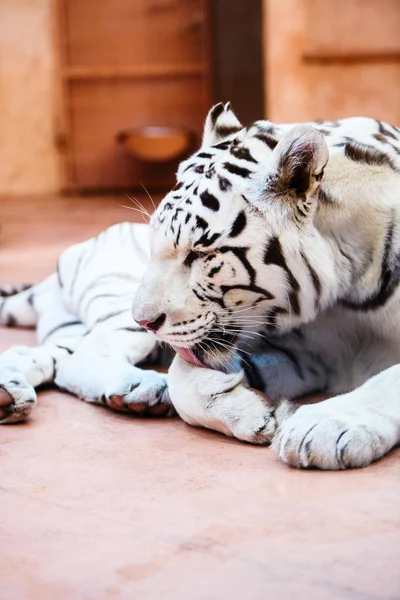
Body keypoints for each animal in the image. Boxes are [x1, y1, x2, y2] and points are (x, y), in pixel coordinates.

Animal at [0, 102, 400, 468]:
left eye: (200, 252)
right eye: (154, 242)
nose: (143, 320)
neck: (345, 292)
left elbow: (388, 379)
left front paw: (325, 427)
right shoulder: (298, 349)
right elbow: (180, 377)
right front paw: (256, 415)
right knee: (80, 355)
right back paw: (140, 390)